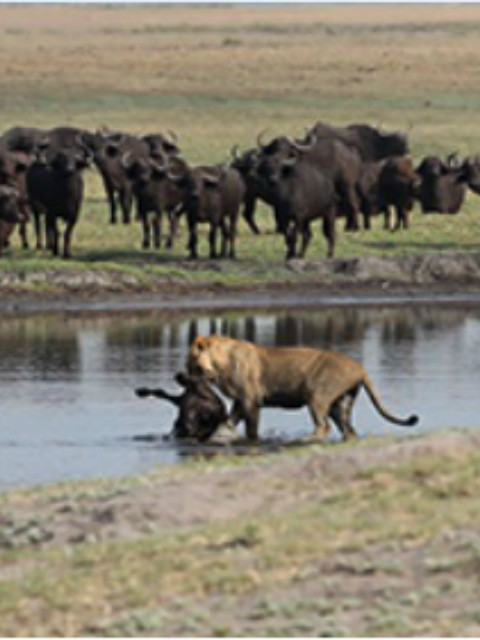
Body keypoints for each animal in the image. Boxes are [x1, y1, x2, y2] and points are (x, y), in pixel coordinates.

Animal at [186, 332, 418, 442]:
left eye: (192, 365)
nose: (184, 377)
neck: (220, 365)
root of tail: (360, 367)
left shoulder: (251, 400)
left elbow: (251, 429)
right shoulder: (239, 401)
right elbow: (229, 422)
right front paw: (219, 436)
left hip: (317, 396)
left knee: (324, 427)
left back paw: (305, 439)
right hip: (340, 403)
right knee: (348, 430)